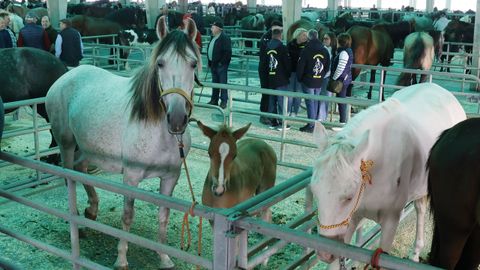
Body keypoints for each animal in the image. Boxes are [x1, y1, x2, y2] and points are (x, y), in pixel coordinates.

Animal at [44, 16, 201, 270]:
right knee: (70, 177)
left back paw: (91, 210)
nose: (177, 119)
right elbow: (127, 216)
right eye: (160, 63)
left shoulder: (171, 177)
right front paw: (121, 258)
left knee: (81, 169)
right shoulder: (131, 177)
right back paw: (77, 220)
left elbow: (163, 216)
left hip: (88, 148)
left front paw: (164, 257)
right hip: (66, 144)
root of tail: (66, 76)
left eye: (193, 64)